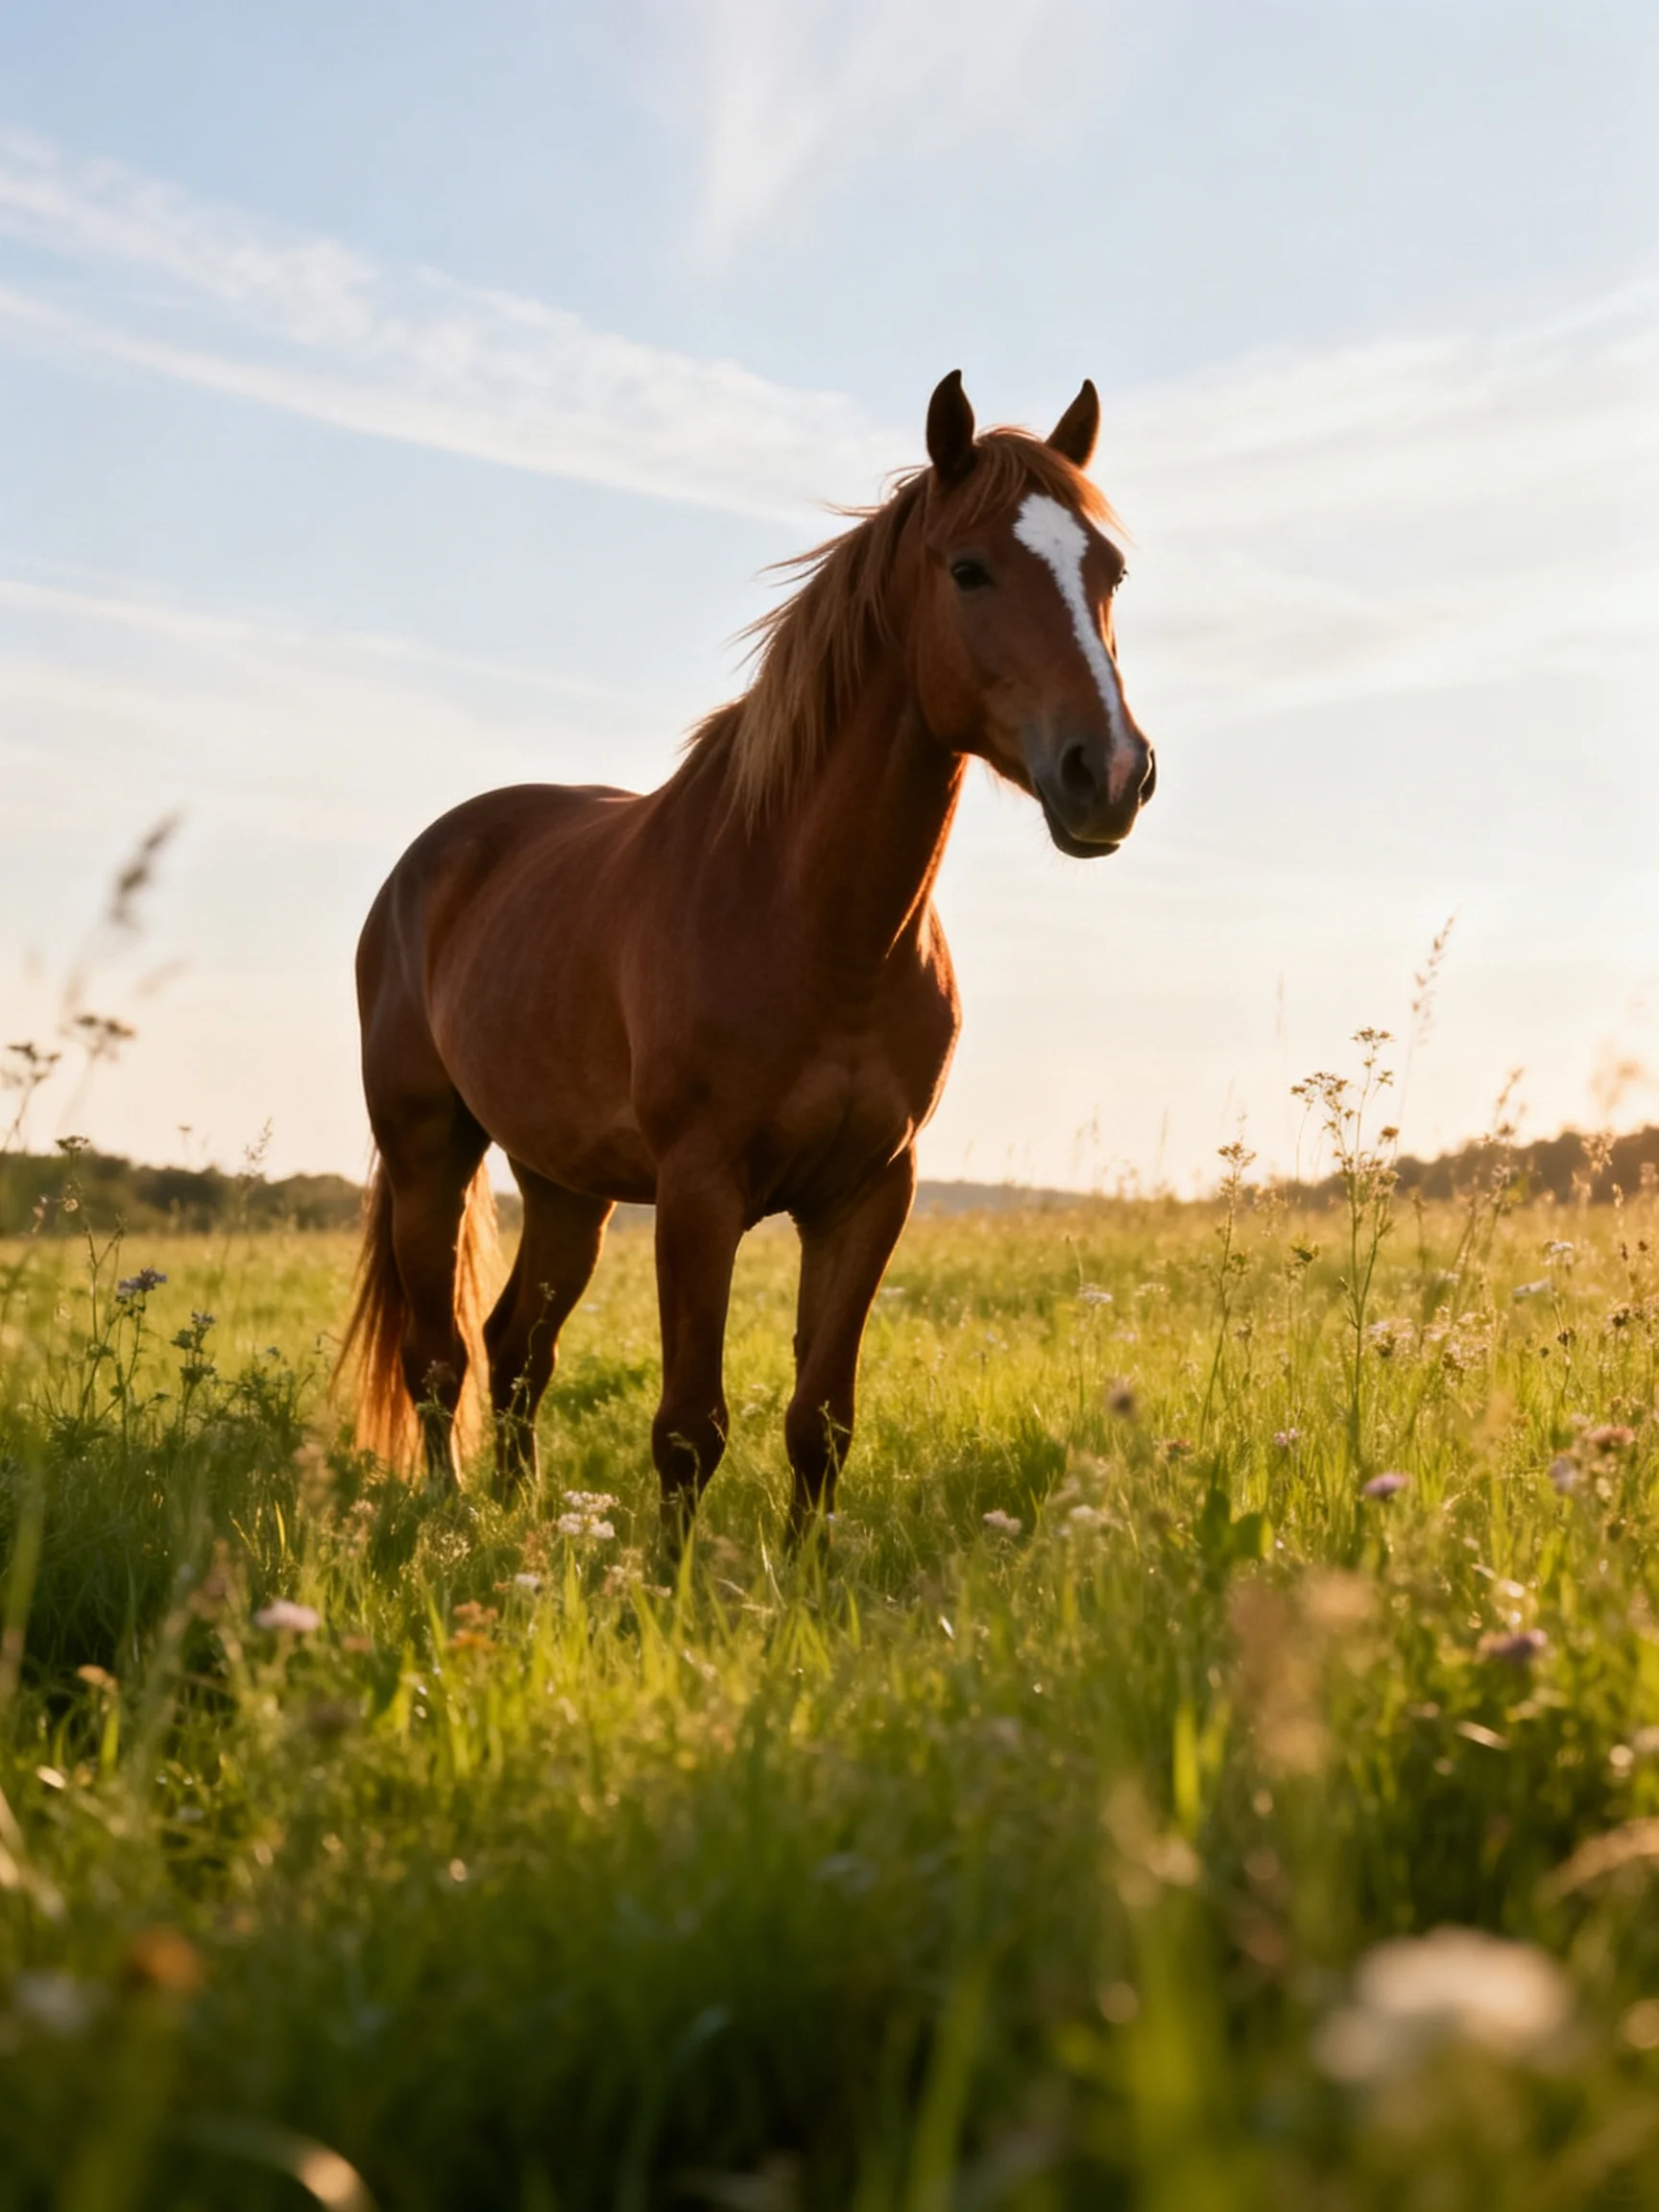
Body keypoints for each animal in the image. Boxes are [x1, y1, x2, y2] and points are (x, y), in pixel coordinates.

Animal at [341, 370, 1155, 1538]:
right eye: (968, 569)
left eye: (1109, 571)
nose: (1112, 774)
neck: (819, 927)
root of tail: (429, 861)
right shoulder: (700, 1191)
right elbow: (690, 1426)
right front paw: (672, 1584)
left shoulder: (870, 1191)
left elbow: (822, 1421)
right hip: (429, 1157)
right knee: (439, 1356)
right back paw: (453, 1522)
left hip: (564, 1187)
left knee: (515, 1349)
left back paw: (519, 1519)